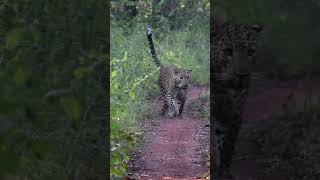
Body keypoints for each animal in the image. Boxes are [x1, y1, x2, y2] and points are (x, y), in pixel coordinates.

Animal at [210, 18, 262, 179]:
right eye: (228, 51)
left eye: (251, 52)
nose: (242, 75)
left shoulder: (235, 112)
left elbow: (227, 144)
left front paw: (224, 172)